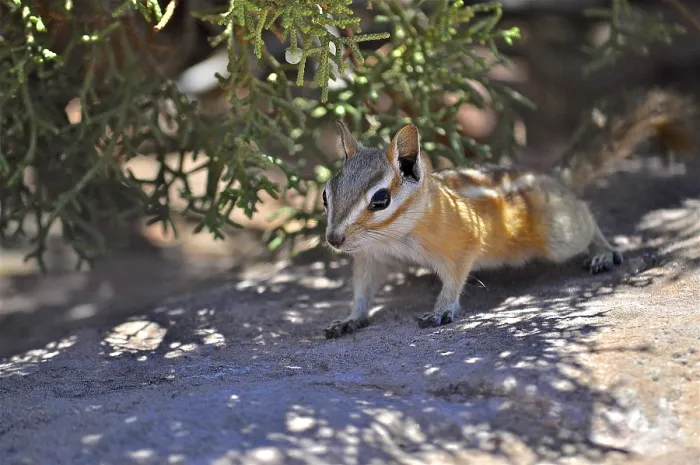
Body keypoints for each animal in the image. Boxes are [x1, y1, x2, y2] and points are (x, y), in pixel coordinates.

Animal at [321, 88, 696, 339]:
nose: (334, 239)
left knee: (586, 217)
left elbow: (454, 280)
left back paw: (603, 252)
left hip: (559, 236)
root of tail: (552, 178)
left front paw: (442, 310)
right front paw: (350, 318)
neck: (395, 235)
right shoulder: (372, 256)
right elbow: (363, 290)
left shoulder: (462, 244)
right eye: (326, 194)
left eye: (381, 200)